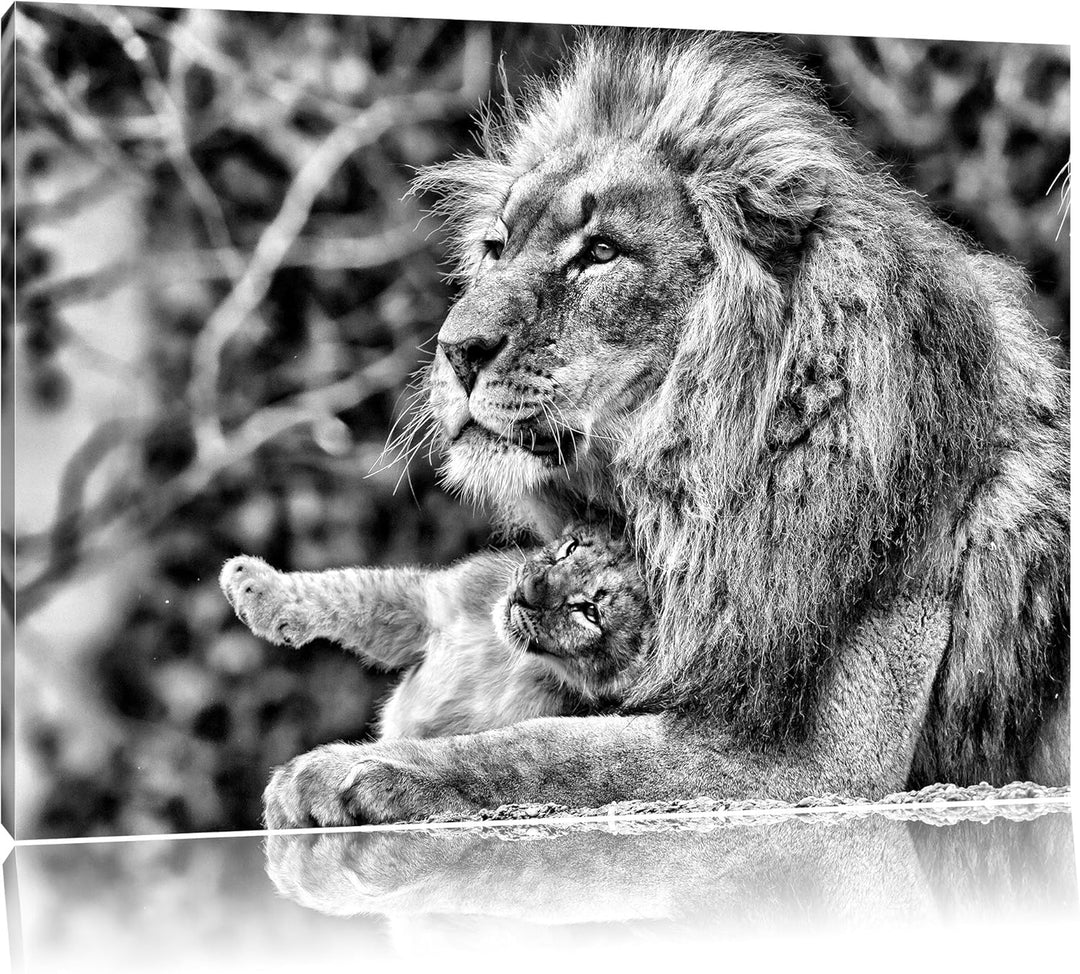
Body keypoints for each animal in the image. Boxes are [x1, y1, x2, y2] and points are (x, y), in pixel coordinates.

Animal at [260, 29, 1069, 828]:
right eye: (496, 247)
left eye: (600, 253)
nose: (456, 351)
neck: (700, 482)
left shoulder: (824, 764)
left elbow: (551, 749)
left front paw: (352, 769)